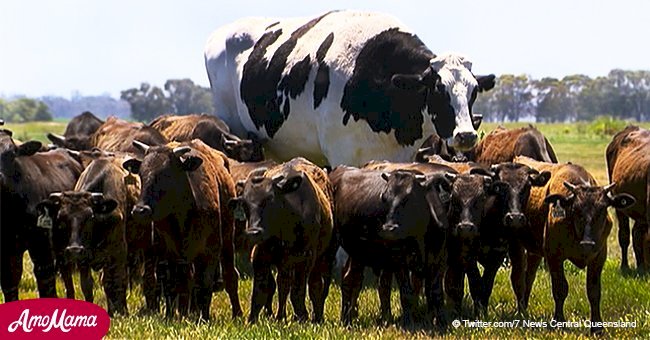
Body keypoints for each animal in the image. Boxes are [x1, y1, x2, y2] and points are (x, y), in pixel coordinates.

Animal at [123, 138, 242, 318]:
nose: (140, 210)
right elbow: (176, 284)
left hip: (228, 239)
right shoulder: (170, 253)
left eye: (166, 175)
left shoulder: (210, 250)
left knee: (230, 276)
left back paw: (236, 313)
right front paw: (176, 316)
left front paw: (203, 318)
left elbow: (205, 284)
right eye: (141, 175)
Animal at [228, 158, 334, 322]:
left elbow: (297, 290)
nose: (253, 232)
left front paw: (301, 316)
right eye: (244, 204)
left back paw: (316, 317)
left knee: (314, 286)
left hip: (320, 258)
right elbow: (260, 290)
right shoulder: (261, 256)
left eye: (270, 199)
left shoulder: (305, 258)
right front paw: (253, 319)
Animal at [508, 157, 632, 334]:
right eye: (576, 209)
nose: (588, 243)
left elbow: (594, 291)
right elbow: (560, 288)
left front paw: (597, 327)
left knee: (529, 276)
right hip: (516, 244)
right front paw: (559, 321)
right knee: (518, 276)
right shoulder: (554, 256)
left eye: (602, 209)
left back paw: (524, 307)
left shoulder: (599, 257)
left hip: (534, 251)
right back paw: (521, 311)